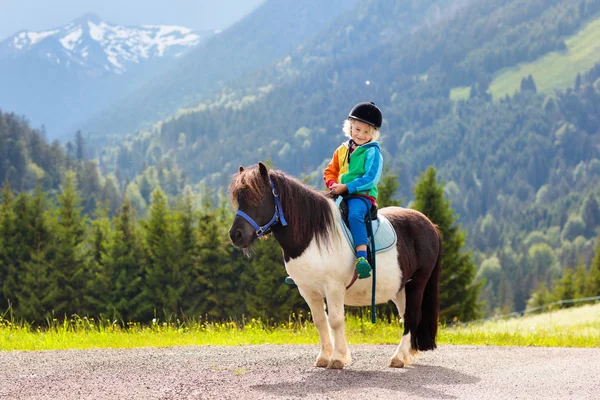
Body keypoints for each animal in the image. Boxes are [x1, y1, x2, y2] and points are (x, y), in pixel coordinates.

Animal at [229, 162, 440, 368]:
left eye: (258, 197)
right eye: (239, 198)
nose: (235, 235)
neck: (312, 236)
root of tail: (431, 226)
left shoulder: (334, 287)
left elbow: (336, 321)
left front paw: (338, 358)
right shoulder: (308, 291)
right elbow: (320, 321)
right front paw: (324, 357)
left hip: (417, 283)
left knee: (412, 316)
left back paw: (399, 357)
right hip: (400, 288)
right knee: (407, 316)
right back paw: (407, 354)